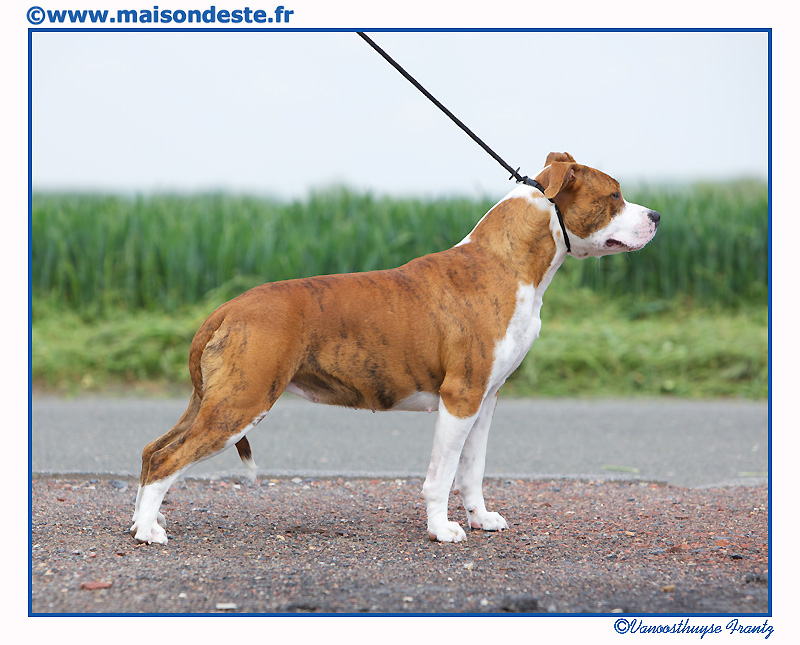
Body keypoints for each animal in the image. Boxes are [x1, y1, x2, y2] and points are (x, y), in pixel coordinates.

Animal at [130, 152, 660, 544]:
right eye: (614, 196)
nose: (656, 215)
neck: (508, 263)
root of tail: (228, 308)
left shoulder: (485, 399)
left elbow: (473, 469)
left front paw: (480, 518)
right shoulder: (460, 397)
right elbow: (441, 475)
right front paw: (442, 530)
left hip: (213, 398)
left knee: (153, 449)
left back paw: (143, 521)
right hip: (241, 402)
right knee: (168, 459)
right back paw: (148, 533)